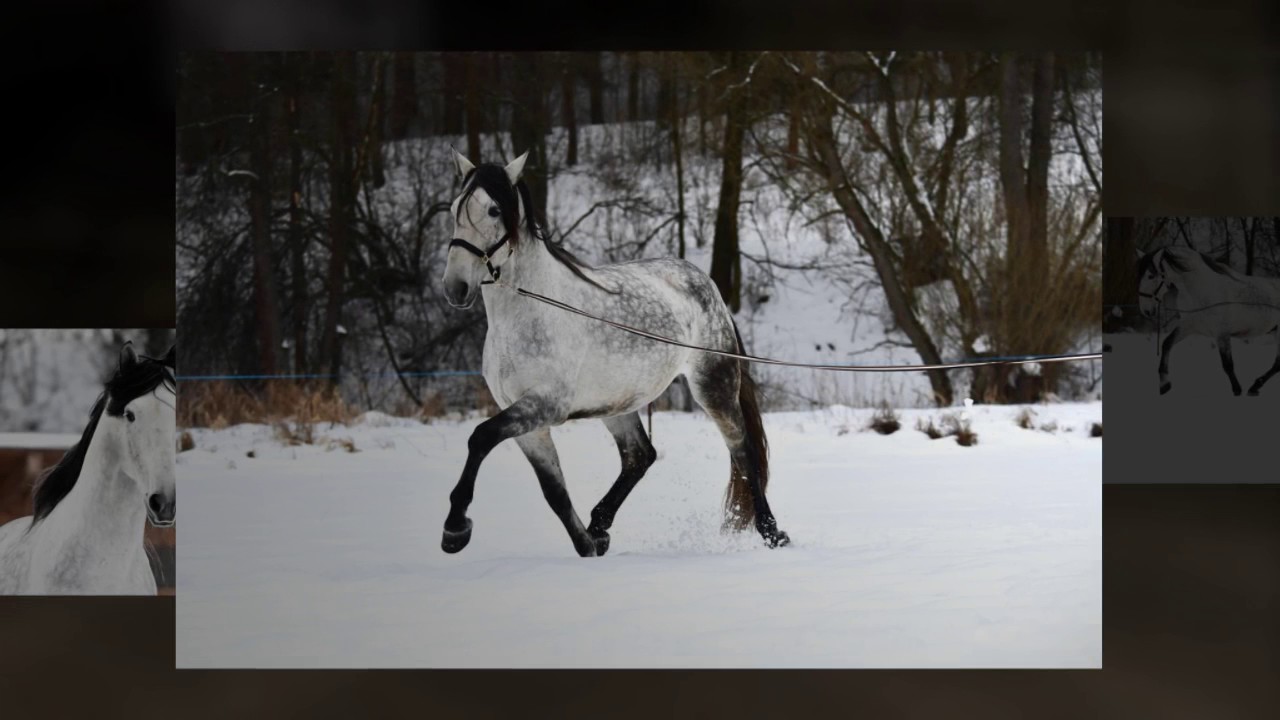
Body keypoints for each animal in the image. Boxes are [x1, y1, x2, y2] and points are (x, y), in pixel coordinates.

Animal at [439, 149, 789, 557]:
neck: (529, 313)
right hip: (619, 403)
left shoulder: (545, 406)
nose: (456, 287)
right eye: (454, 208)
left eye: (494, 210)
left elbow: (479, 438)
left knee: (742, 451)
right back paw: (600, 526)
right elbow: (554, 492)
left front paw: (455, 528)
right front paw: (587, 546)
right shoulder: (528, 422)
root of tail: (706, 282)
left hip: (713, 385)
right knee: (640, 455)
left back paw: (772, 532)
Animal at [1137, 246, 1280, 396]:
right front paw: (1164, 385)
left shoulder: (1222, 333)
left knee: (1277, 363)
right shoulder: (1187, 327)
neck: (1202, 290)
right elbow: (1166, 344)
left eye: (1150, 276)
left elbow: (1228, 365)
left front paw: (1237, 390)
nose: (1146, 311)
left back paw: (1255, 387)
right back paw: (1255, 387)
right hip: (1275, 331)